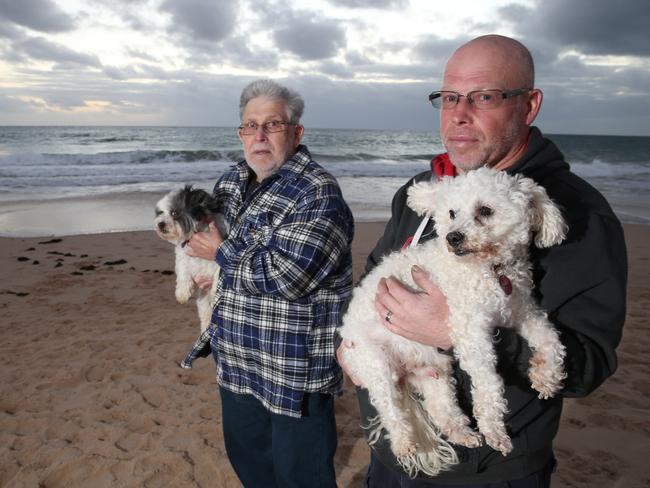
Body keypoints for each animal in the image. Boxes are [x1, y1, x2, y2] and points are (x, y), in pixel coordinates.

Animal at [153, 185, 224, 334]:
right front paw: (182, 293)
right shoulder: (183, 256)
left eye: (174, 213)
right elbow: (182, 273)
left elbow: (219, 271)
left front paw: (216, 290)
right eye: (160, 213)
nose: (160, 224)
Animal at [340, 168, 568, 476]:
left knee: (442, 408)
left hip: (433, 371)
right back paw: (403, 442)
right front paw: (494, 429)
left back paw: (462, 432)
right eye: (451, 212)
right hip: (375, 364)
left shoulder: (521, 311)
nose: (453, 237)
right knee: (390, 410)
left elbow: (550, 339)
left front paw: (547, 376)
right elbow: (488, 383)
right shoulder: (472, 332)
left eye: (485, 210)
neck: (492, 268)